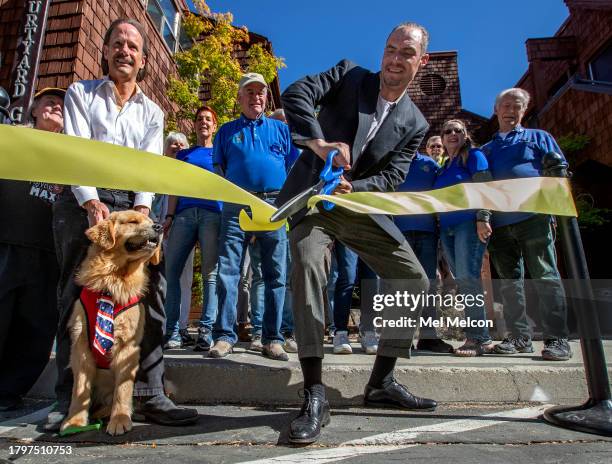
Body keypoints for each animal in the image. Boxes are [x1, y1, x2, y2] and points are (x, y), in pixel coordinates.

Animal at [60, 210, 163, 436]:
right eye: (132, 221)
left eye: (151, 221)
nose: (159, 227)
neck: (113, 281)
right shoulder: (80, 347)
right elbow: (79, 391)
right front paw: (74, 422)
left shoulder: (127, 346)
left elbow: (122, 390)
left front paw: (120, 419)